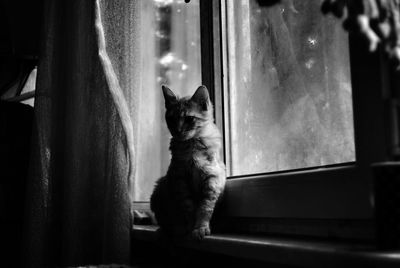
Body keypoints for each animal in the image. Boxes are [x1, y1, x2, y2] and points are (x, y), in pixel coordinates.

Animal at [150, 85, 227, 240]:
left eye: (189, 118)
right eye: (171, 119)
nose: (177, 131)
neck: (191, 145)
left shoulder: (212, 180)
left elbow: (205, 208)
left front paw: (200, 228)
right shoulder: (180, 180)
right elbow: (188, 208)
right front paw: (191, 228)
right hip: (158, 191)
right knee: (165, 222)